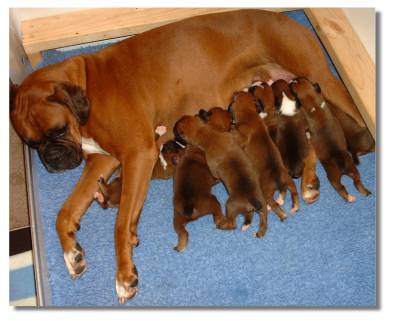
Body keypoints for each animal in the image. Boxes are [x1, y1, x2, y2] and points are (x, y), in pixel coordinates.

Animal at [8, 8, 368, 302]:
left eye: (57, 132)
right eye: (31, 143)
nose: (52, 161)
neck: (86, 85)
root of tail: (289, 19)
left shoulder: (137, 153)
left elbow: (120, 223)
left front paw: (124, 275)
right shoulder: (104, 159)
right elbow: (65, 213)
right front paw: (73, 253)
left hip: (322, 78)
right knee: (311, 142)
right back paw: (309, 184)